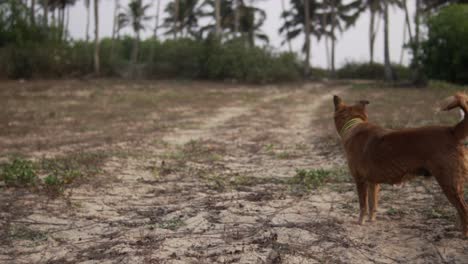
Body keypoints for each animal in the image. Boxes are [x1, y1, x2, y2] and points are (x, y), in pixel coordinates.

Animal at [332, 93, 468, 237]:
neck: (354, 124)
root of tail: (452, 131)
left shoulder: (360, 181)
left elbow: (363, 205)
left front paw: (360, 222)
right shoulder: (373, 183)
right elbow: (372, 204)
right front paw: (371, 220)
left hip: (450, 184)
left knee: (463, 210)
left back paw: (464, 234)